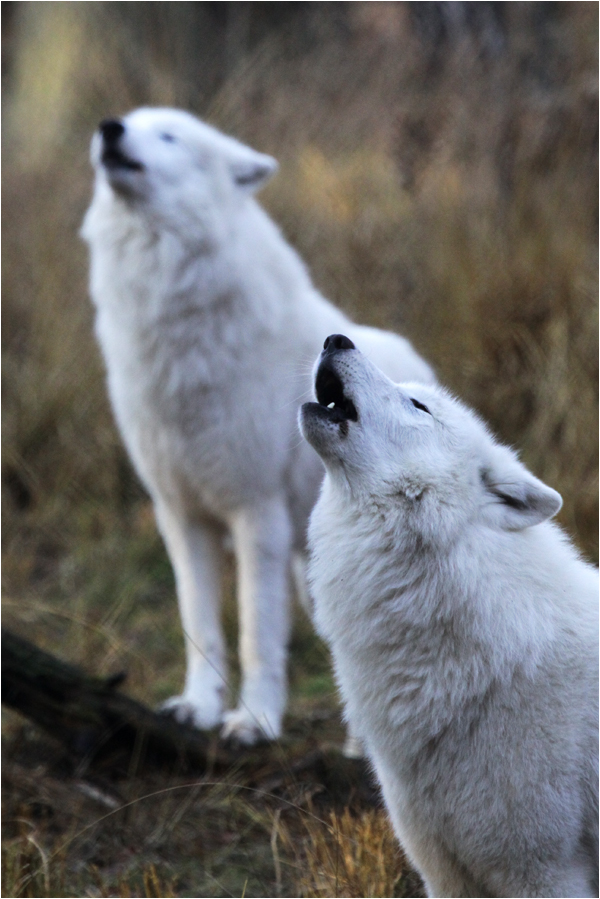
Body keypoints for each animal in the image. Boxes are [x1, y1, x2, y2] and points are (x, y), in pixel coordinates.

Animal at [81, 105, 436, 744]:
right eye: (134, 122)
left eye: (169, 136)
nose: (110, 128)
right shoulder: (182, 517)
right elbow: (200, 626)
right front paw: (197, 708)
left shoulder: (255, 515)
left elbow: (256, 633)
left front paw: (254, 721)